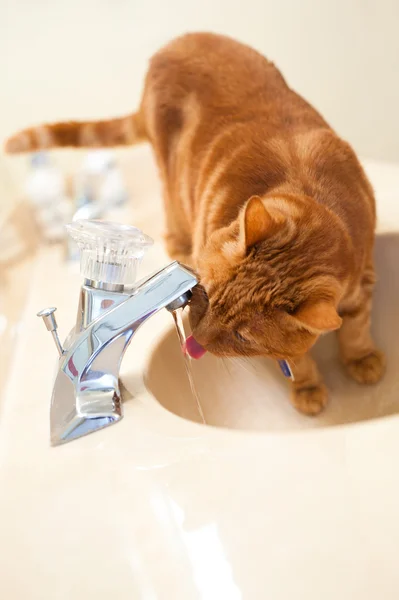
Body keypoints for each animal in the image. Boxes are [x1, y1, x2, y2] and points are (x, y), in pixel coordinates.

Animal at [4, 32, 386, 414]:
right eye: (206, 295)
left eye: (242, 336)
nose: (195, 340)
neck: (308, 188)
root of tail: (175, 43)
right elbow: (298, 359)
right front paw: (308, 387)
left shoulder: (364, 279)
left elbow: (355, 328)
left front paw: (360, 358)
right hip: (169, 177)